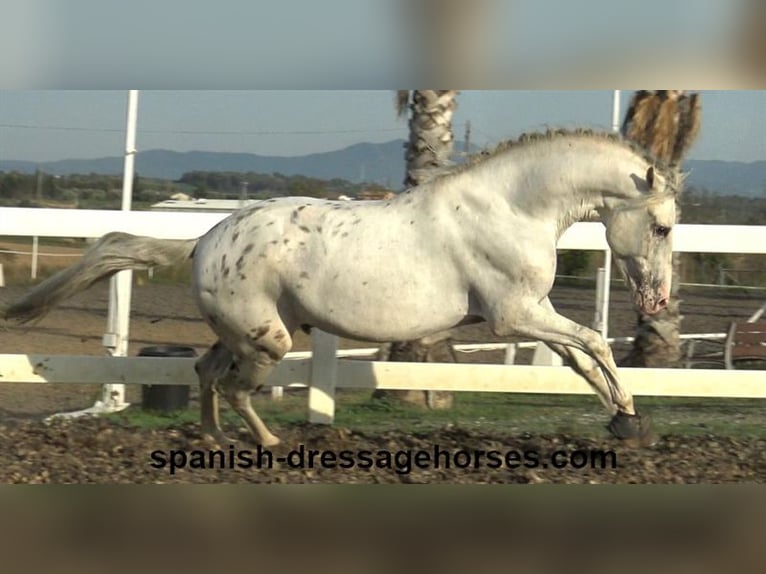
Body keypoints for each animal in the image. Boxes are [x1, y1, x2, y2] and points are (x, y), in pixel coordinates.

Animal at [4, 132, 680, 450]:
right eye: (663, 226)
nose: (656, 303)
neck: (512, 206)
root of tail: (202, 241)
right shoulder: (513, 316)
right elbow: (595, 342)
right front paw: (630, 418)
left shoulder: (533, 312)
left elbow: (582, 356)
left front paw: (629, 422)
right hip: (270, 340)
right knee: (234, 385)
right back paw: (270, 442)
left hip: (249, 332)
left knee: (205, 371)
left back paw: (217, 438)